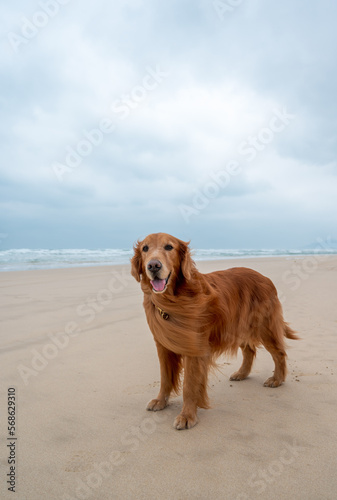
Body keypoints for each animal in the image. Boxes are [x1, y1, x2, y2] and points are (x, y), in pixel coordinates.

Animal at [131, 232, 296, 428]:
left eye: (169, 247)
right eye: (145, 248)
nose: (153, 266)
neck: (173, 300)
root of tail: (265, 278)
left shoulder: (194, 349)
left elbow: (189, 385)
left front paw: (187, 415)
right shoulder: (163, 345)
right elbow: (165, 378)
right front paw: (161, 401)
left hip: (265, 327)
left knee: (279, 353)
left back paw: (277, 379)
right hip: (237, 327)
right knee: (249, 350)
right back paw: (242, 373)